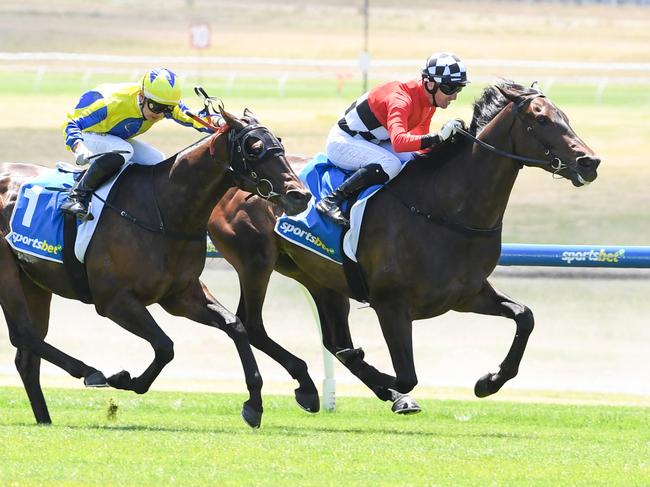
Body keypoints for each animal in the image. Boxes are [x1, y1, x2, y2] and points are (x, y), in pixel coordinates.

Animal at [0, 107, 310, 428]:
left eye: (279, 142)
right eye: (254, 148)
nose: (300, 195)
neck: (164, 212)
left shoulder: (180, 295)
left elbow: (234, 325)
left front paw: (256, 403)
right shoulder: (114, 300)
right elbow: (165, 346)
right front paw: (125, 380)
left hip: (34, 284)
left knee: (26, 355)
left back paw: (45, 417)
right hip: (7, 272)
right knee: (23, 334)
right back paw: (90, 371)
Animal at [206, 81, 596, 416]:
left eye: (565, 115)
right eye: (541, 118)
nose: (589, 162)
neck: (444, 209)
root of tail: (234, 182)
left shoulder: (466, 295)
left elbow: (524, 316)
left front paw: (490, 381)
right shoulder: (390, 304)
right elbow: (407, 374)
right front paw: (386, 382)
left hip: (318, 277)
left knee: (332, 338)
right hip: (256, 262)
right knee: (253, 323)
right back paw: (315, 384)